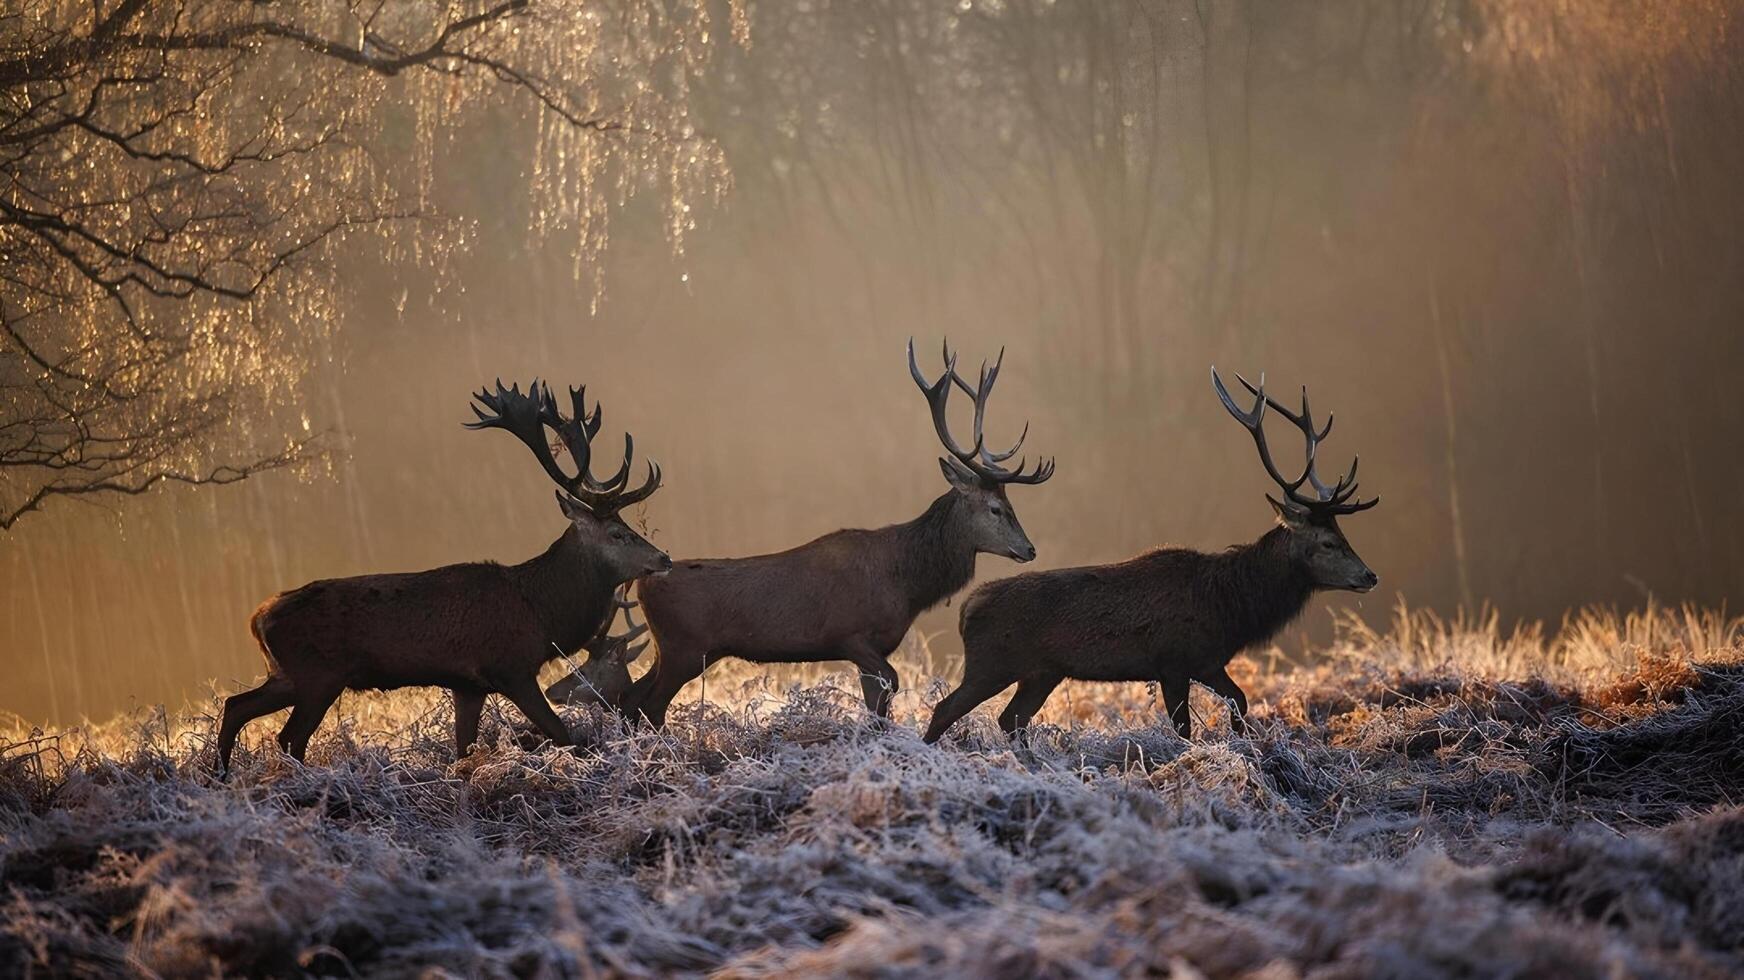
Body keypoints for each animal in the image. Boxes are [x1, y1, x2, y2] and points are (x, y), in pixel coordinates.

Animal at [218, 381, 666, 770]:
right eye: (618, 533)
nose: (663, 557)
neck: (541, 612)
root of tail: (258, 618)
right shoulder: (511, 667)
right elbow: (563, 734)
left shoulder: (468, 685)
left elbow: (463, 747)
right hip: (317, 676)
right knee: (288, 737)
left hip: (285, 674)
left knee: (235, 706)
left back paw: (221, 774)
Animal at [620, 340, 1053, 721]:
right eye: (996, 508)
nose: (1029, 549)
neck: (907, 583)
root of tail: (643, 582)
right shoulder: (851, 633)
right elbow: (889, 687)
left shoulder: (874, 647)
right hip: (683, 648)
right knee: (648, 705)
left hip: (671, 651)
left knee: (630, 697)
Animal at [920, 366, 1381, 739]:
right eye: (1327, 542)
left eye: (1343, 534)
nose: (1370, 575)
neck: (1230, 606)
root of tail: (967, 607)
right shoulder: (1174, 660)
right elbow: (1186, 728)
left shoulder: (1207, 661)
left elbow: (1241, 701)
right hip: (991, 663)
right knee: (945, 709)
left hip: (1041, 672)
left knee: (1011, 720)